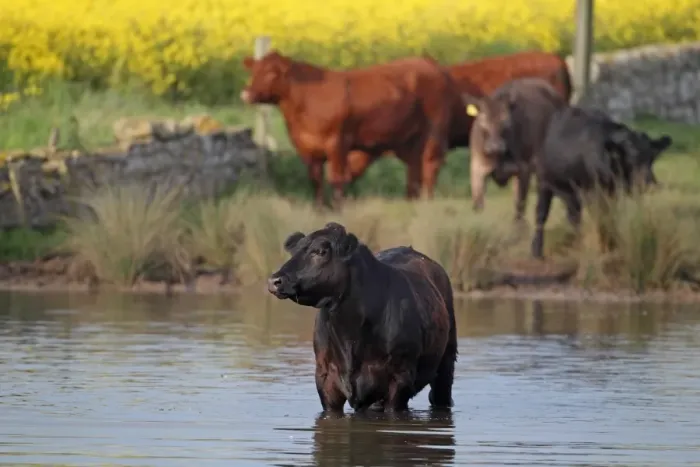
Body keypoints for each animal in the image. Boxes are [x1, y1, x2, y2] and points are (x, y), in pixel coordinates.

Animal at [241, 51, 455, 208]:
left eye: (272, 73)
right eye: (254, 71)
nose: (246, 94)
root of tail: (426, 62)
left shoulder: (337, 143)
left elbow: (337, 178)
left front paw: (338, 208)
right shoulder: (306, 147)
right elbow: (315, 179)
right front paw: (319, 208)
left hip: (434, 132)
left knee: (430, 165)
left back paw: (426, 202)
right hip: (408, 139)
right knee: (414, 169)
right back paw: (410, 201)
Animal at [266, 222, 457, 413]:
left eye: (320, 251)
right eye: (294, 251)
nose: (274, 280)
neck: (350, 336)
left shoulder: (400, 379)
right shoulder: (325, 378)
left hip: (446, 361)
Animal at [460, 77, 567, 222]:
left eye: (505, 122)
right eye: (483, 122)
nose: (495, 146)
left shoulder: (523, 169)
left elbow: (520, 205)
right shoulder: (477, 168)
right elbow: (478, 204)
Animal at [530, 106, 673, 258]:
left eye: (652, 157)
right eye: (632, 155)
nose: (649, 183)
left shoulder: (612, 194)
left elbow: (609, 218)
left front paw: (612, 246)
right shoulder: (593, 193)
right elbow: (600, 219)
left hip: (571, 193)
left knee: (574, 217)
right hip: (544, 182)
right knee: (541, 215)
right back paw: (537, 251)